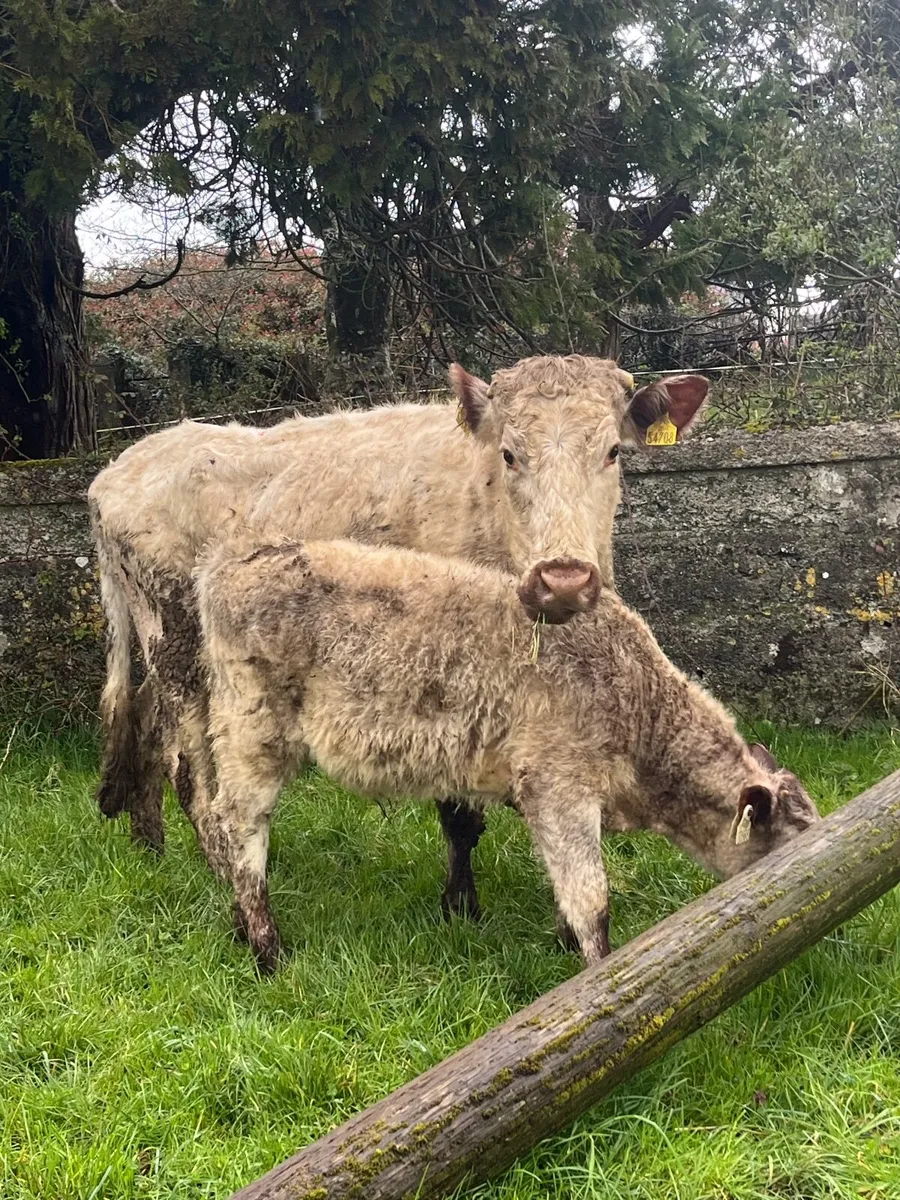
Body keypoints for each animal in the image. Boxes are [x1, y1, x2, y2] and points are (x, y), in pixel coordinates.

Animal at [89, 354, 709, 918]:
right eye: (510, 454)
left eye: (612, 452)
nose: (563, 580)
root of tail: (113, 473)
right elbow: (460, 814)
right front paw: (461, 908)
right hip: (178, 639)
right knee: (188, 766)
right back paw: (222, 875)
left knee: (143, 719)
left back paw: (151, 845)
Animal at [195, 537, 820, 972]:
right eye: (791, 843)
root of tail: (231, 560)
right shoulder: (560, 785)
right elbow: (591, 898)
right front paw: (598, 973)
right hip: (253, 731)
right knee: (239, 827)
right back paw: (267, 949)